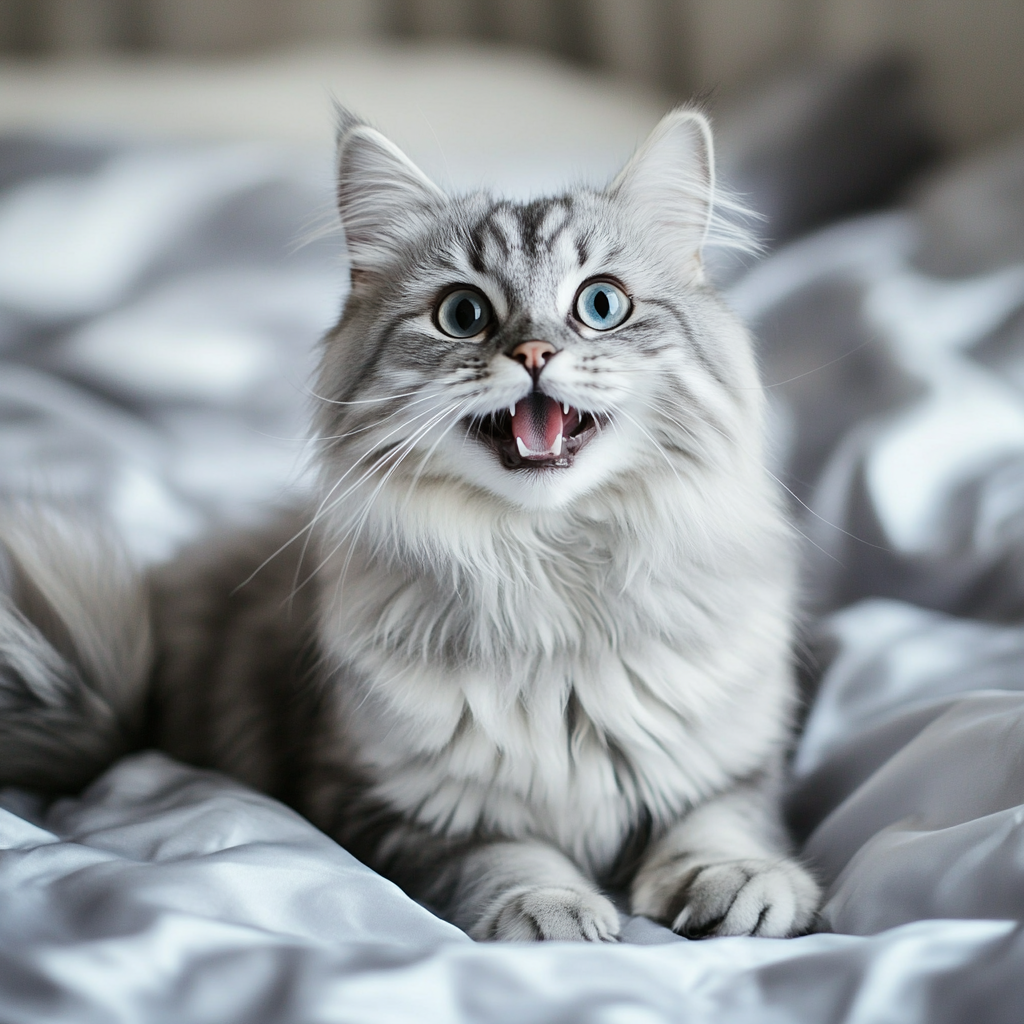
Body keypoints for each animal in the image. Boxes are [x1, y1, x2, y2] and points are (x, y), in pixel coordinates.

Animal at [0, 108, 819, 937]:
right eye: (464, 314)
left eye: (600, 305)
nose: (534, 352)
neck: (547, 571)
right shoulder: (383, 801)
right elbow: (504, 855)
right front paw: (549, 907)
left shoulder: (735, 762)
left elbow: (718, 824)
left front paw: (736, 882)